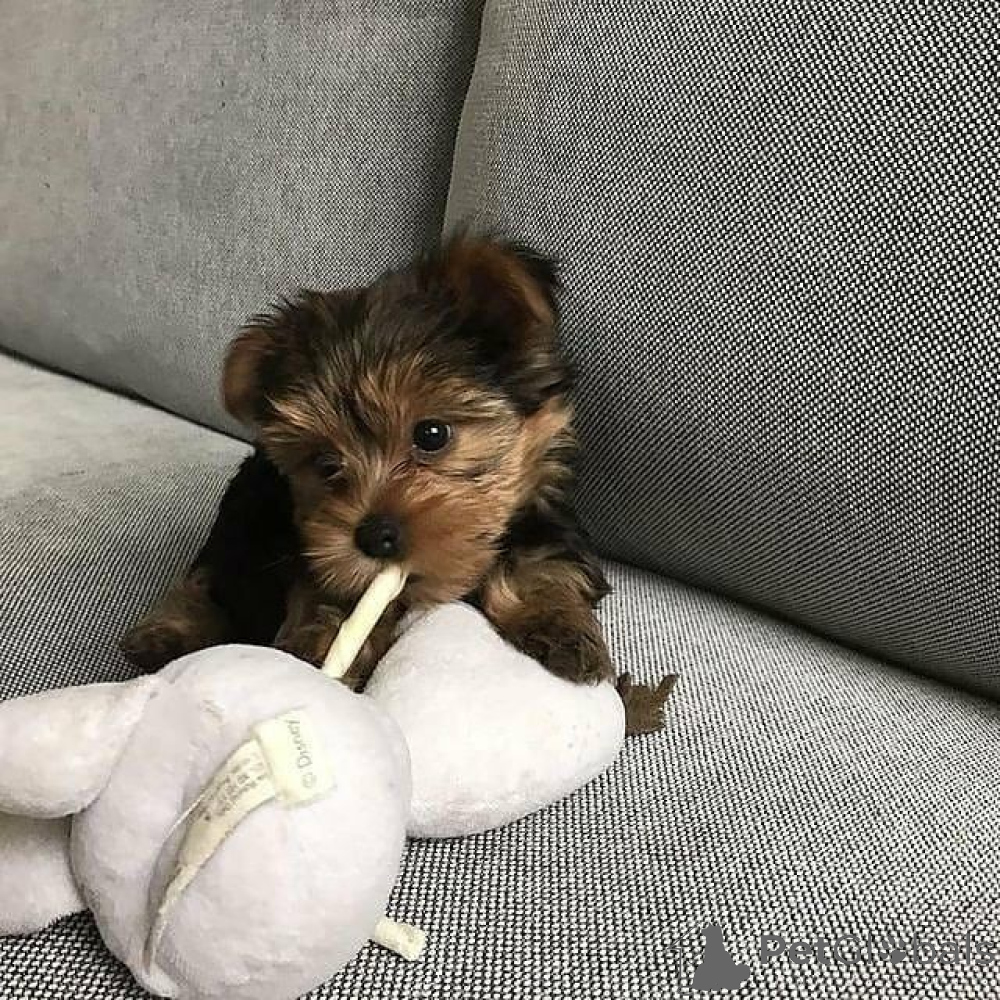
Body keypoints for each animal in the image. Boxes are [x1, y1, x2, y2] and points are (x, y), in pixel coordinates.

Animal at [121, 234, 672, 733]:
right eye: (326, 464)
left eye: (431, 434)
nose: (374, 537)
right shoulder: (315, 556)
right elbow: (332, 599)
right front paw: (330, 649)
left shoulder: (545, 521)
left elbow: (545, 567)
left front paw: (562, 631)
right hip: (245, 514)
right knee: (211, 575)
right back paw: (165, 635)